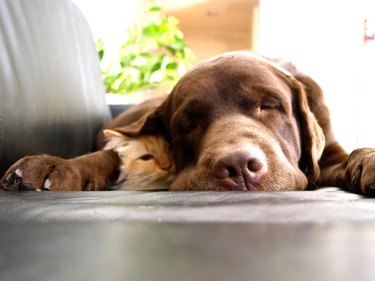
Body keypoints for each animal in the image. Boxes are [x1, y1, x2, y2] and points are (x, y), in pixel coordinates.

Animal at [2, 50, 375, 195]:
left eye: (270, 105)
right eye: (188, 124)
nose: (239, 166)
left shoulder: (329, 155)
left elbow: (352, 155)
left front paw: (369, 162)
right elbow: (112, 154)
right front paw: (55, 166)